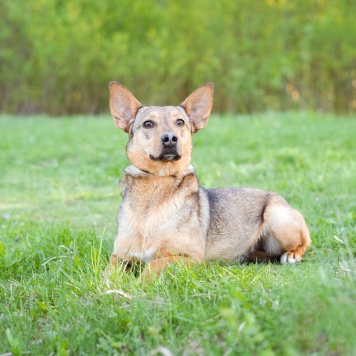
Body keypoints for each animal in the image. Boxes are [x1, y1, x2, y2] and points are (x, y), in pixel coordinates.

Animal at [107, 82, 310, 276]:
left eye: (180, 122)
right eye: (148, 124)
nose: (170, 138)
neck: (158, 182)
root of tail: (278, 197)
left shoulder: (190, 257)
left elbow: (153, 265)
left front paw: (138, 283)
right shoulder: (119, 256)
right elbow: (108, 273)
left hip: (276, 216)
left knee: (304, 243)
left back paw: (292, 255)